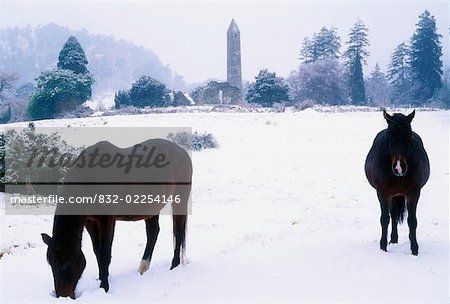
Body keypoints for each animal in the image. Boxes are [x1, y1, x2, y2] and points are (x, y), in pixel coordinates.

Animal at [40, 139, 192, 298]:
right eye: (51, 263)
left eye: (64, 263)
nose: (62, 296)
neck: (90, 178)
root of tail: (182, 152)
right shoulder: (90, 223)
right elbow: (97, 252)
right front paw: (101, 278)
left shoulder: (107, 220)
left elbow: (105, 254)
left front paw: (104, 287)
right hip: (151, 208)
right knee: (153, 233)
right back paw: (143, 267)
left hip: (179, 198)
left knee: (178, 231)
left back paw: (174, 265)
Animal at [364, 109, 430, 254]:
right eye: (390, 135)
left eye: (409, 135)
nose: (399, 167)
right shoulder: (383, 193)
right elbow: (384, 219)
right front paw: (383, 247)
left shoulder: (414, 193)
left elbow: (412, 221)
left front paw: (414, 249)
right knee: (393, 215)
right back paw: (393, 239)